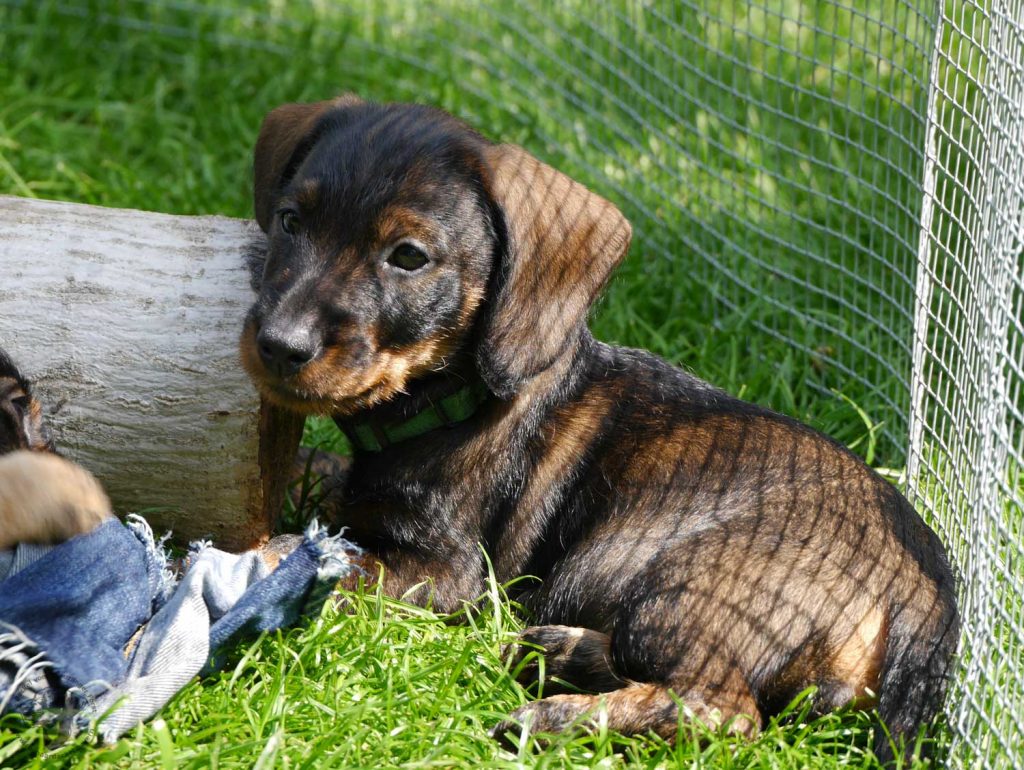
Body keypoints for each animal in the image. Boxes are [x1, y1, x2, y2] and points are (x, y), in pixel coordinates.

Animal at [239, 96, 958, 757]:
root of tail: (927, 593)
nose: (278, 344)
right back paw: (561, 656)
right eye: (291, 222)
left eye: (408, 257)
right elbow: (318, 478)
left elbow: (305, 553)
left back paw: (556, 716)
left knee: (723, 713)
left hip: (680, 586)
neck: (449, 403)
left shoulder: (441, 570)